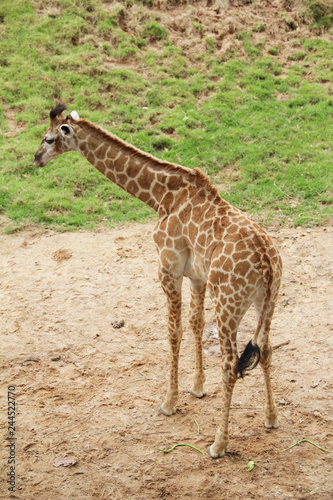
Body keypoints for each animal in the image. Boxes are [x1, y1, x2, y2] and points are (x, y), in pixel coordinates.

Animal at [33, 104, 282, 458]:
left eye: (50, 138)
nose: (36, 159)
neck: (161, 195)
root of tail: (267, 262)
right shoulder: (197, 276)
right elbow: (194, 324)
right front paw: (197, 388)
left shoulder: (168, 268)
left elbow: (173, 333)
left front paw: (169, 402)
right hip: (267, 302)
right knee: (266, 348)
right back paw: (271, 419)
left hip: (229, 304)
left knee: (231, 362)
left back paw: (218, 444)